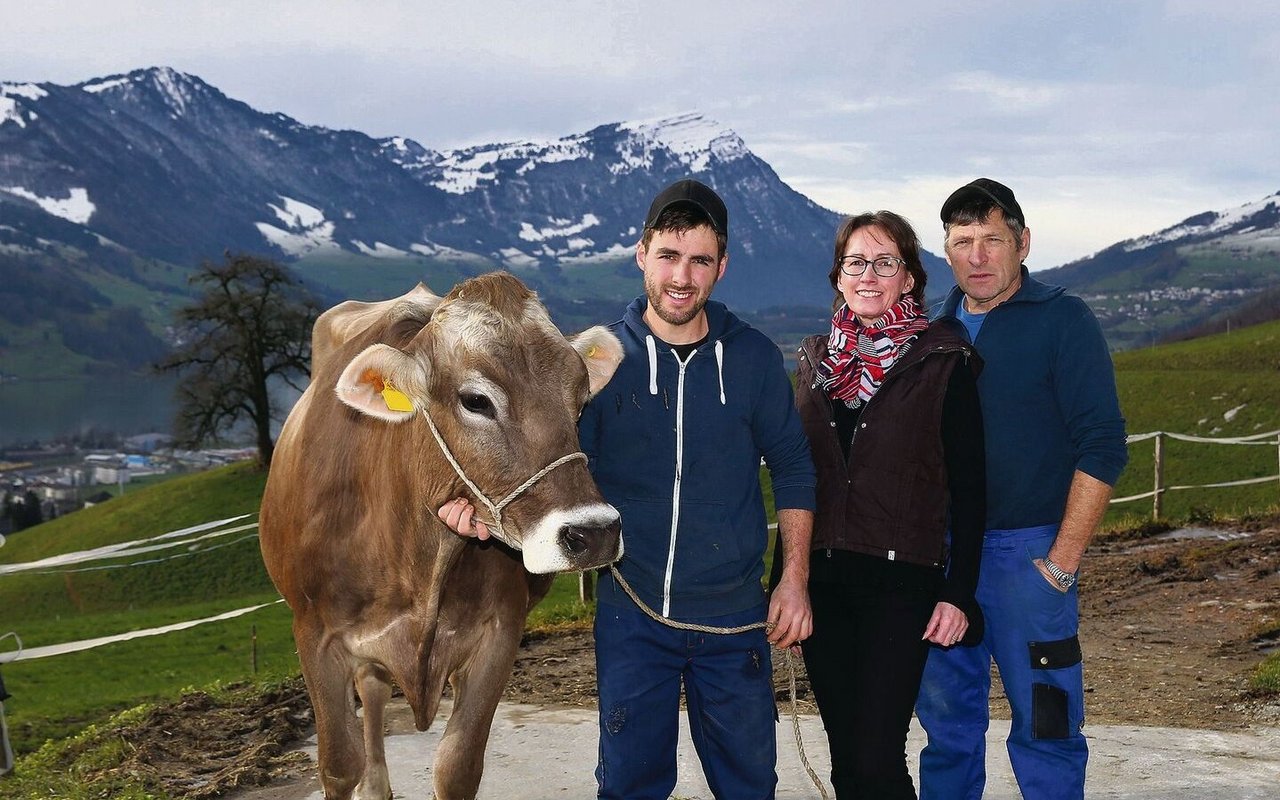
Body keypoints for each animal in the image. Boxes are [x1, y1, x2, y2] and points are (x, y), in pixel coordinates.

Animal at [257, 271, 622, 793]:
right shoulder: (315, 635)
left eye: (581, 397)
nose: (593, 533)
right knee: (371, 692)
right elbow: (340, 765)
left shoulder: (499, 633)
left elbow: (457, 765)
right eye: (475, 400)